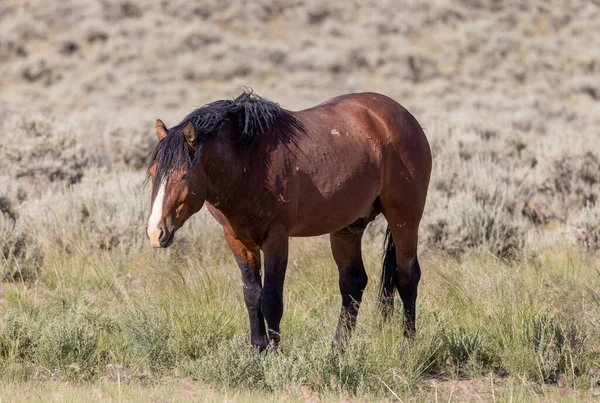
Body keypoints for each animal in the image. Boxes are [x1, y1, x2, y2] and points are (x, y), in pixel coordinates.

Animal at [145, 90, 432, 350]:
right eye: (154, 172)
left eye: (184, 175)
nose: (155, 233)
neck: (249, 161)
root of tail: (403, 116)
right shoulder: (237, 239)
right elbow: (252, 294)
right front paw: (258, 349)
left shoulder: (276, 239)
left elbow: (272, 299)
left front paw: (275, 353)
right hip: (347, 228)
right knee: (353, 283)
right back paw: (338, 348)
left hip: (404, 218)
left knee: (407, 276)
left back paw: (407, 345)